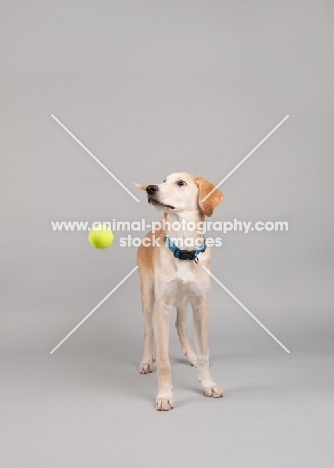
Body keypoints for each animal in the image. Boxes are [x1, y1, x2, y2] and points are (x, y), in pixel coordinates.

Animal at [136, 173, 224, 410]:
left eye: (181, 183)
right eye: (164, 181)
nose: (151, 188)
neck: (183, 248)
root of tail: (154, 230)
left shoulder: (201, 307)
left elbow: (204, 354)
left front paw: (208, 384)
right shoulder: (163, 307)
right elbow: (164, 360)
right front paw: (164, 395)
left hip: (184, 302)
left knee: (180, 325)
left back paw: (190, 356)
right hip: (148, 298)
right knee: (148, 330)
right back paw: (147, 360)